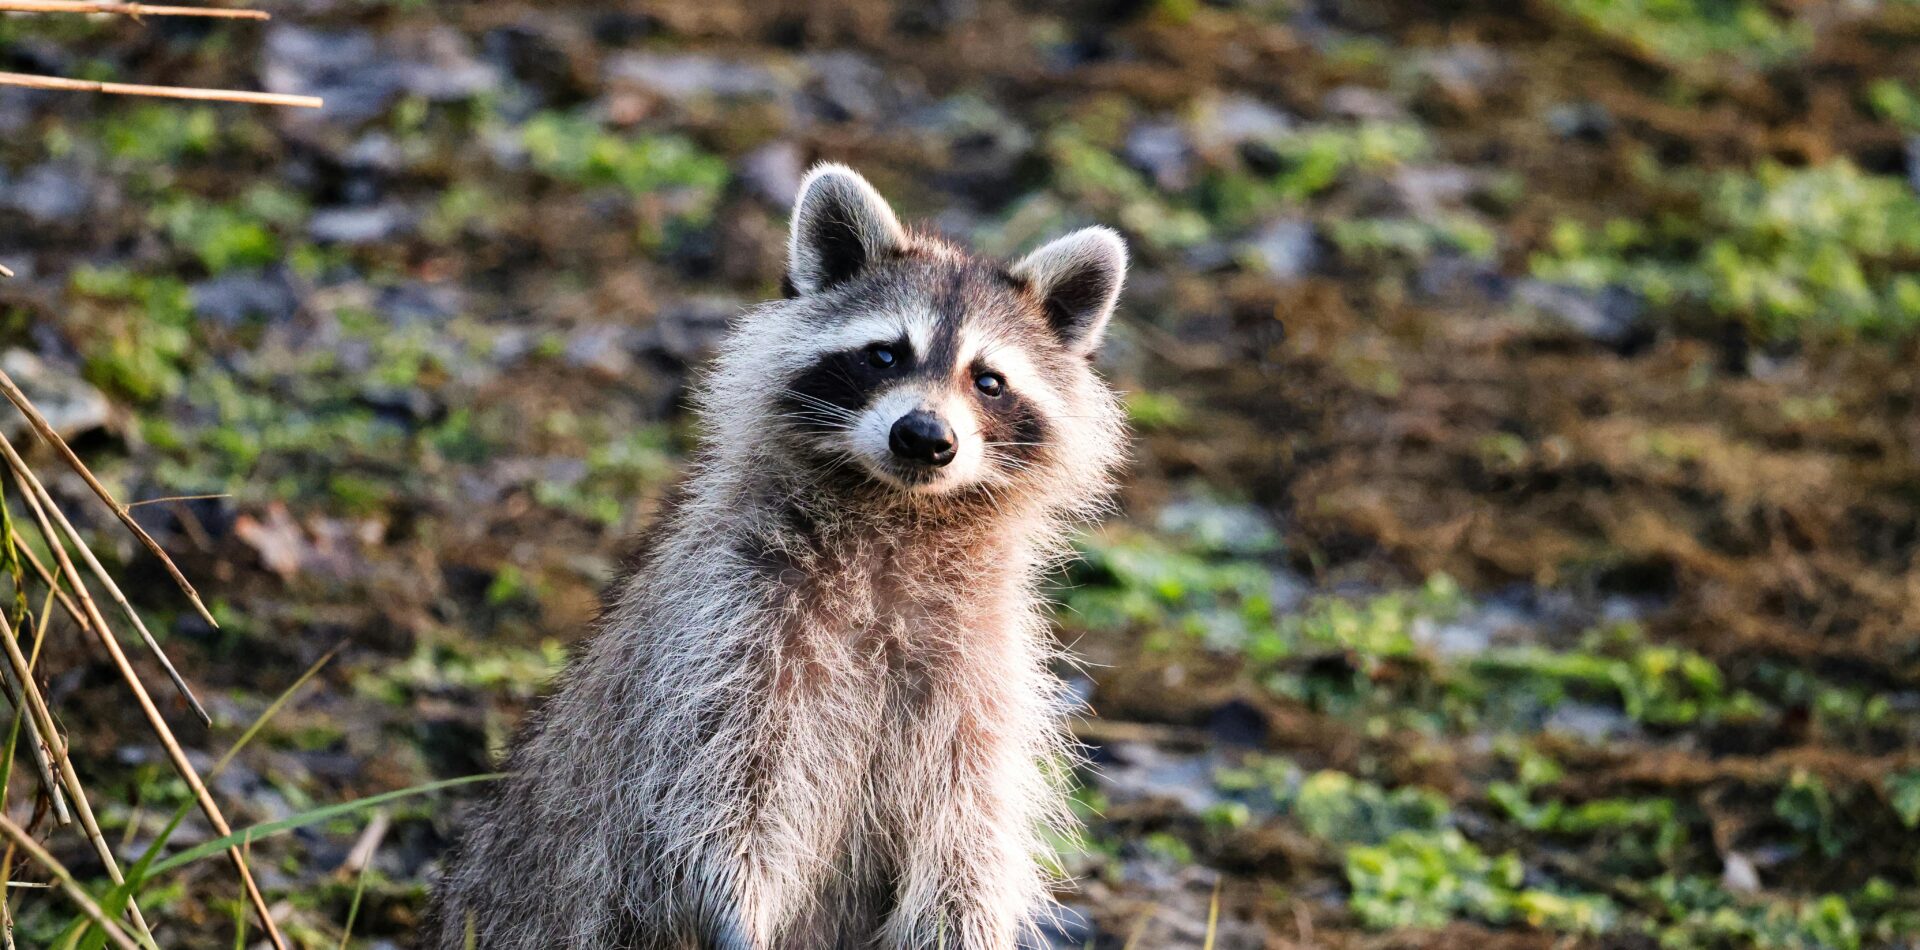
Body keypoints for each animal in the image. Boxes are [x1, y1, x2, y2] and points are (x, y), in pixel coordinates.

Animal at [424, 166, 1121, 948]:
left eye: (988, 380)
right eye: (885, 354)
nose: (923, 436)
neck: (897, 515)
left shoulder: (981, 673)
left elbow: (967, 832)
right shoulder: (728, 627)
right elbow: (715, 802)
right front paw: (736, 908)